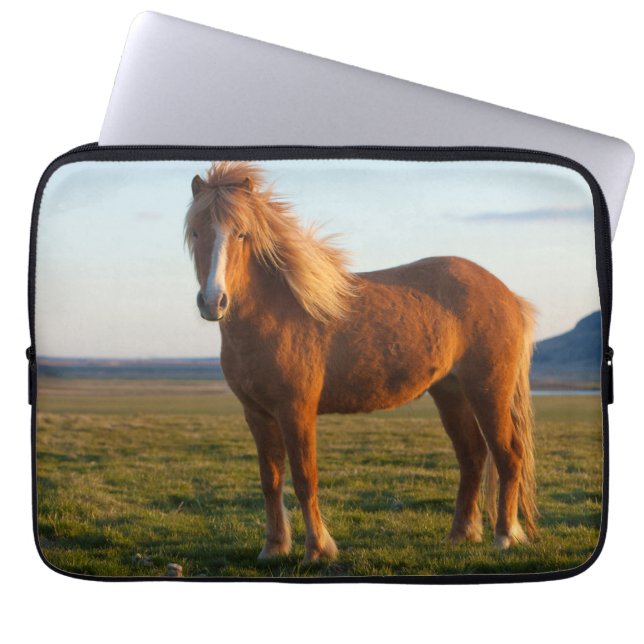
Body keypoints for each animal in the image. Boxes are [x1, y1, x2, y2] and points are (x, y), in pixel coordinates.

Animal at [185, 161, 538, 563]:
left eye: (241, 234)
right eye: (195, 232)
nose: (213, 301)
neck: (274, 312)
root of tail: (506, 294)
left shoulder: (296, 411)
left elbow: (305, 479)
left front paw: (317, 549)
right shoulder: (257, 414)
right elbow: (270, 480)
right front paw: (274, 547)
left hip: (488, 392)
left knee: (508, 455)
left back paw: (505, 535)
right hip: (451, 393)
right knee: (473, 456)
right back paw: (461, 533)